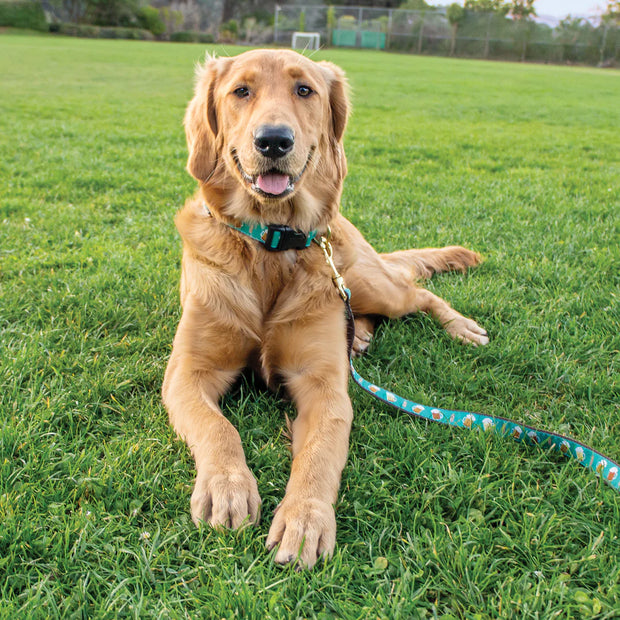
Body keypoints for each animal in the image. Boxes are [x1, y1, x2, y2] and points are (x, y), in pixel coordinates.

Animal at [163, 49, 490, 568]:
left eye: (304, 91)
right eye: (241, 91)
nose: (274, 140)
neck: (271, 245)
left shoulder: (324, 386)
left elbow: (318, 453)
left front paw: (305, 519)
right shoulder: (188, 372)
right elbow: (218, 428)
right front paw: (226, 485)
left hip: (367, 282)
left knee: (417, 293)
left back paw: (460, 327)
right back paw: (360, 336)